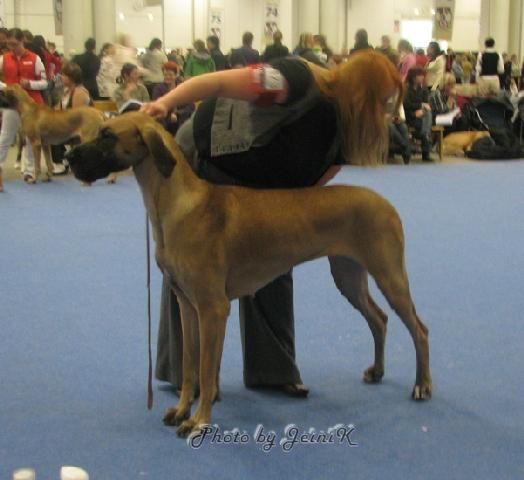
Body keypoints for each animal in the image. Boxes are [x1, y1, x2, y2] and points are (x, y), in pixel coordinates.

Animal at [66, 112, 432, 437]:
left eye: (107, 135)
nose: (68, 156)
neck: (175, 204)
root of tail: (385, 202)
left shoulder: (213, 309)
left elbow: (206, 370)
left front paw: (199, 421)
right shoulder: (187, 304)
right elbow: (189, 365)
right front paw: (183, 410)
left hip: (389, 274)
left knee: (419, 329)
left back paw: (422, 386)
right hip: (348, 276)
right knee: (379, 319)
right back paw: (378, 371)